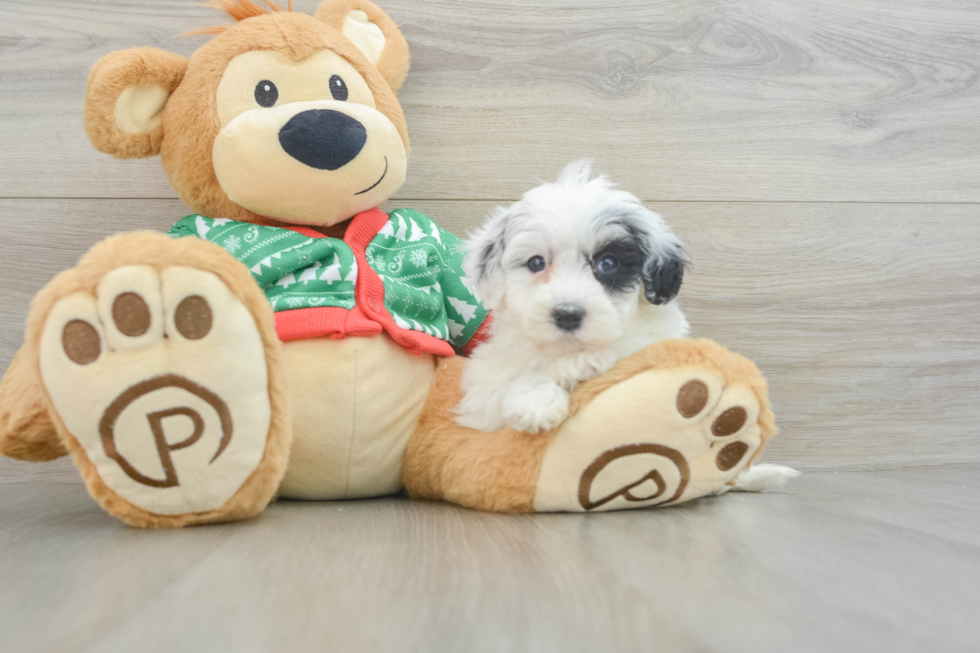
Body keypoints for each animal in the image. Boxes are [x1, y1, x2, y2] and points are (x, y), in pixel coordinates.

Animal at [458, 159, 688, 432]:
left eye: (608, 263)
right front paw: (537, 403)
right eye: (536, 262)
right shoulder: (484, 388)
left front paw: (582, 365)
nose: (567, 315)